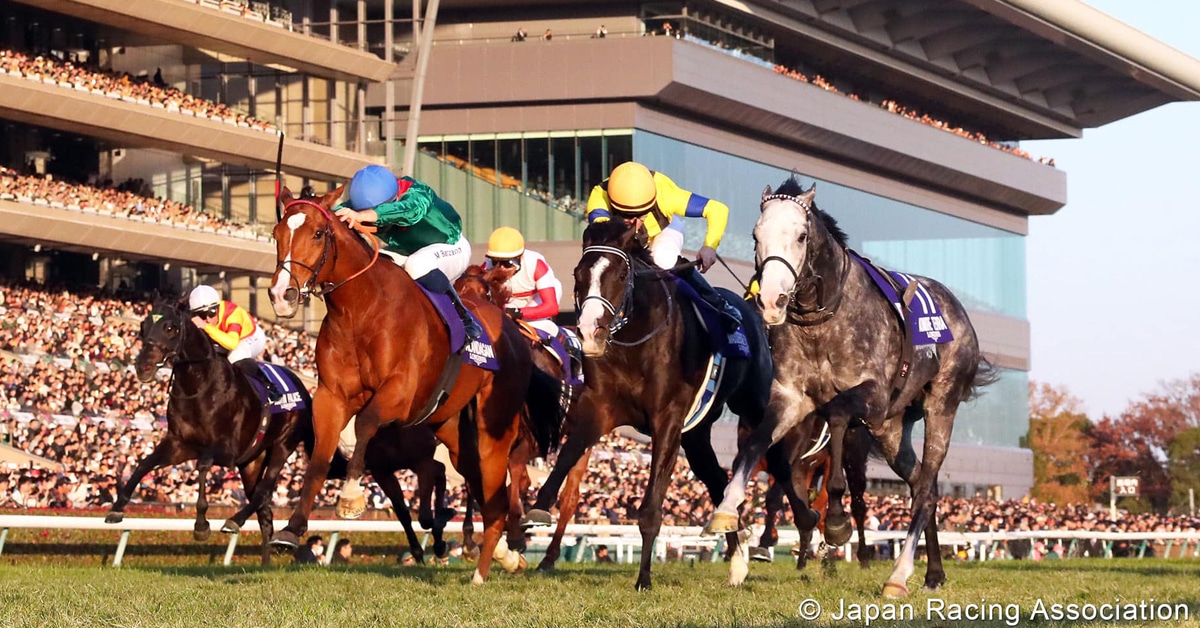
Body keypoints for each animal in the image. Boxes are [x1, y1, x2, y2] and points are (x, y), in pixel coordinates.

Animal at [107, 297, 309, 565]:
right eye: (143, 325)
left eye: (170, 327)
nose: (143, 367)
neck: (198, 386)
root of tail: (302, 386)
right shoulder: (179, 444)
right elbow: (143, 464)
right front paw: (116, 508)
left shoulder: (225, 451)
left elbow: (202, 466)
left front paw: (201, 525)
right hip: (251, 462)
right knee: (264, 510)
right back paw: (264, 563)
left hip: (283, 445)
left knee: (263, 491)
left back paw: (234, 521)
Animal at [267, 186, 559, 583]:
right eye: (276, 234)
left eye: (317, 233)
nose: (282, 295)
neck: (361, 309)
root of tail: (511, 328)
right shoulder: (331, 395)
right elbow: (319, 459)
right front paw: (292, 529)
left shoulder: (401, 393)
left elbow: (366, 422)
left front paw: (350, 496)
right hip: (452, 428)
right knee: (480, 487)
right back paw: (501, 553)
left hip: (494, 427)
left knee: (500, 490)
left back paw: (483, 570)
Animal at [456, 264, 590, 570]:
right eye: (455, 290)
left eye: (484, 293)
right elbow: (476, 481)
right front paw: (471, 541)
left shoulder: (532, 438)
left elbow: (517, 477)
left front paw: (515, 535)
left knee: (569, 497)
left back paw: (548, 556)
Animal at [521, 219, 779, 590]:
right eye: (578, 273)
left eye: (618, 274)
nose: (589, 332)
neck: (634, 341)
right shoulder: (599, 409)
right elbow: (565, 459)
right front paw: (537, 509)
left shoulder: (667, 419)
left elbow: (651, 506)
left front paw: (643, 577)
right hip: (696, 435)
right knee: (717, 480)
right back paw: (736, 555)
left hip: (752, 405)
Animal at [705, 177, 995, 597]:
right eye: (756, 235)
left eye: (801, 235)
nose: (771, 301)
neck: (822, 322)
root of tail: (957, 309)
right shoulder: (791, 398)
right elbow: (757, 444)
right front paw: (727, 511)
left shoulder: (872, 395)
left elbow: (838, 415)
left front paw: (836, 520)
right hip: (891, 431)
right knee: (922, 484)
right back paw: (934, 572)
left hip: (941, 404)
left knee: (925, 489)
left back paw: (898, 574)